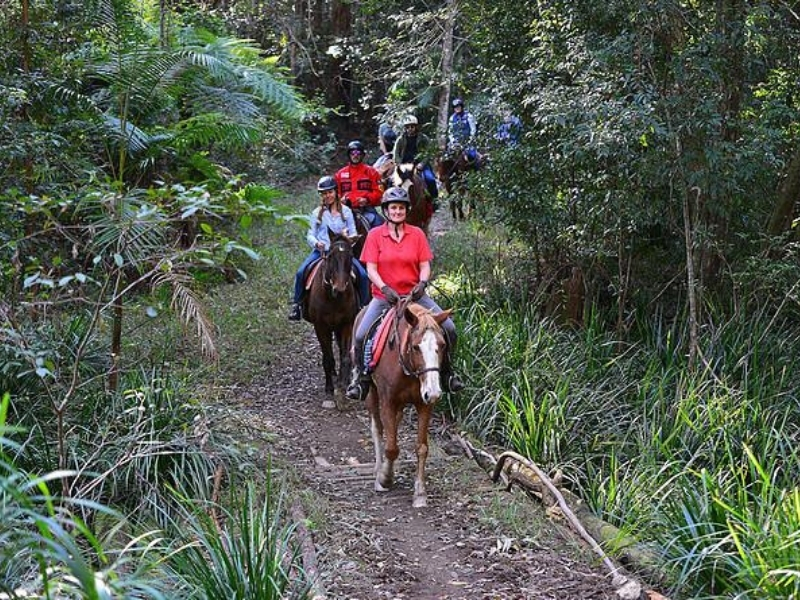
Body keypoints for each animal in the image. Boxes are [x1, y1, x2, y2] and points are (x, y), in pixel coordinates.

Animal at [304, 232, 360, 406]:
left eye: (351, 256)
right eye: (329, 256)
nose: (339, 288)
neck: (333, 298)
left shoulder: (347, 323)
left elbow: (345, 356)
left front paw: (342, 386)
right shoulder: (320, 326)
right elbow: (327, 357)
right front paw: (329, 388)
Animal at [360, 300, 454, 506]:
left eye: (443, 345)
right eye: (416, 347)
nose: (434, 392)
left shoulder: (425, 404)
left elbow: (421, 448)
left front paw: (420, 493)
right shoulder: (388, 401)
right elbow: (391, 447)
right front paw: (385, 478)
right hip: (372, 393)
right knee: (377, 429)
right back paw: (378, 468)